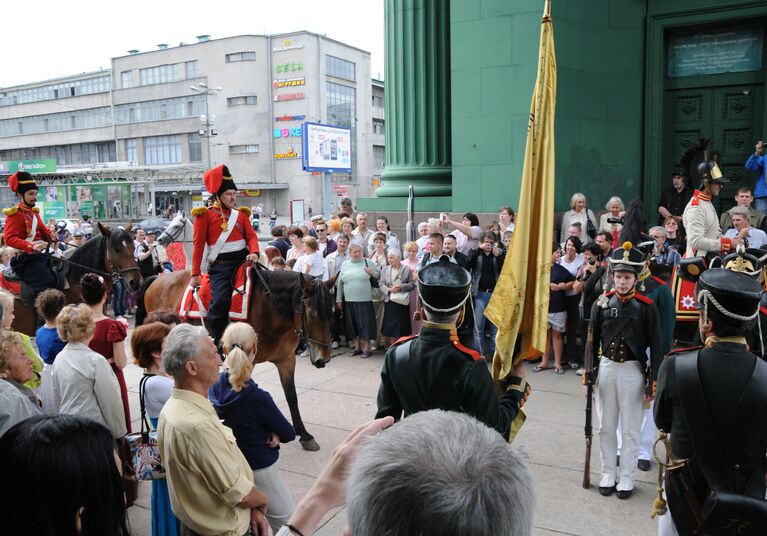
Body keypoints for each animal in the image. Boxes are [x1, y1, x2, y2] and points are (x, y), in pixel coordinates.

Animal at [139, 266, 336, 450]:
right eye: (311, 313)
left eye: (332, 311)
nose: (324, 358)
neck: (270, 310)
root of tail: (159, 278)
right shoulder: (247, 359)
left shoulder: (286, 360)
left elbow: (291, 396)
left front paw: (304, 435)